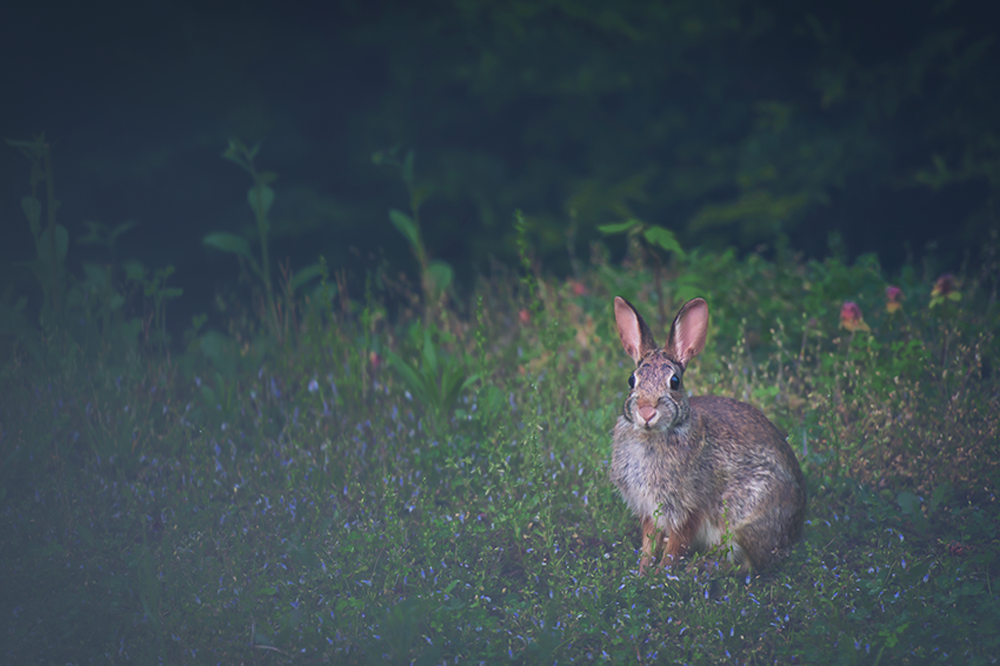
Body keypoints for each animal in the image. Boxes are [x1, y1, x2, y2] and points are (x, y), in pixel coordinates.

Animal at [610, 296, 806, 575]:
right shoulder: (650, 511)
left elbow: (675, 546)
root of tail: (793, 533)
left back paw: (698, 568)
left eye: (675, 382)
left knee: (749, 565)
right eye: (631, 380)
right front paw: (642, 572)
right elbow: (649, 542)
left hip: (742, 517)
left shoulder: (689, 509)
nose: (646, 411)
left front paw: (660, 575)